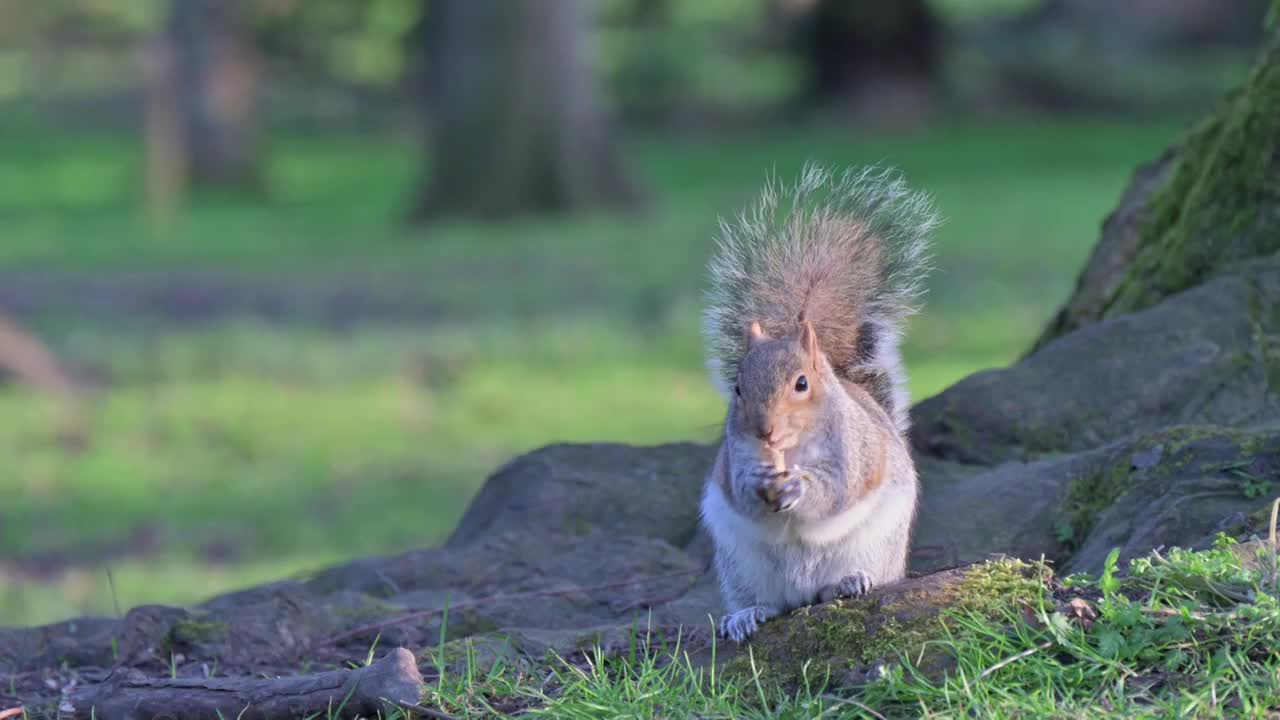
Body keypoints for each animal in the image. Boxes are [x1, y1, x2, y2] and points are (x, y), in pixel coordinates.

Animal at [701, 163, 942, 638]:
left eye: (801, 384)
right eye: (737, 387)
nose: (765, 431)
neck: (790, 450)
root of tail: (802, 594)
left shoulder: (850, 451)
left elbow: (835, 489)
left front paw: (800, 486)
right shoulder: (735, 454)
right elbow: (740, 489)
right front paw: (758, 483)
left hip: (874, 545)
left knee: (841, 583)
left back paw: (849, 582)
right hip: (740, 565)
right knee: (768, 602)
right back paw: (745, 615)